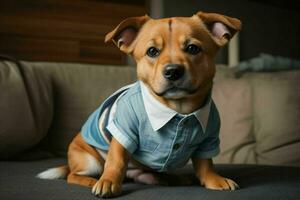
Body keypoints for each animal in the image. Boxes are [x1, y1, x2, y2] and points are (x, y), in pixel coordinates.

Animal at [37, 11, 243, 198]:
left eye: (193, 48)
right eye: (152, 51)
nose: (173, 71)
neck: (177, 109)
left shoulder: (209, 138)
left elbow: (205, 163)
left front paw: (213, 179)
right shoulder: (122, 132)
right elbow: (116, 161)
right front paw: (108, 181)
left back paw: (172, 178)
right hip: (90, 161)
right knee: (73, 175)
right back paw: (91, 180)